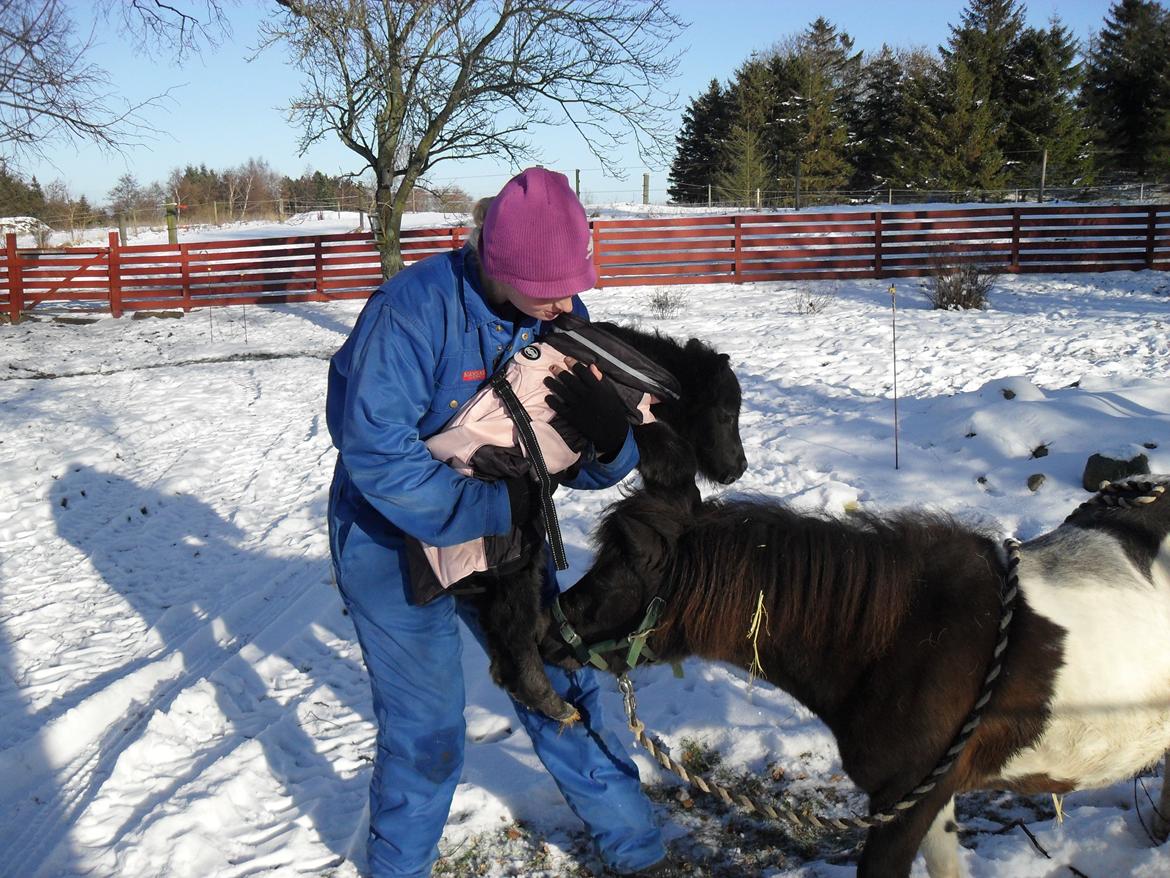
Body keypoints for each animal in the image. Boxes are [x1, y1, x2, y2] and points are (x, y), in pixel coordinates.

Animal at [460, 323, 744, 721]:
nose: (738, 469)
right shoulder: (639, 425)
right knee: (512, 625)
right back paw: (549, 699)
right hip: (518, 553)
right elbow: (678, 462)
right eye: (726, 414)